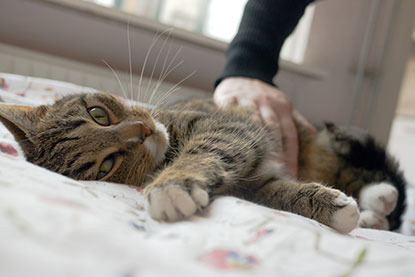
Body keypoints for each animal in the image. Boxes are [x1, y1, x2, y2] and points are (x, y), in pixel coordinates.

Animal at [0, 91, 408, 232]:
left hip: (320, 143)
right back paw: (374, 211)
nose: (143, 131)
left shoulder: (227, 128)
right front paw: (328, 205)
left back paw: (379, 197)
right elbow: (278, 192)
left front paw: (172, 184)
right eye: (106, 166)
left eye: (99, 114)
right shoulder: (251, 185)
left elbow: (208, 149)